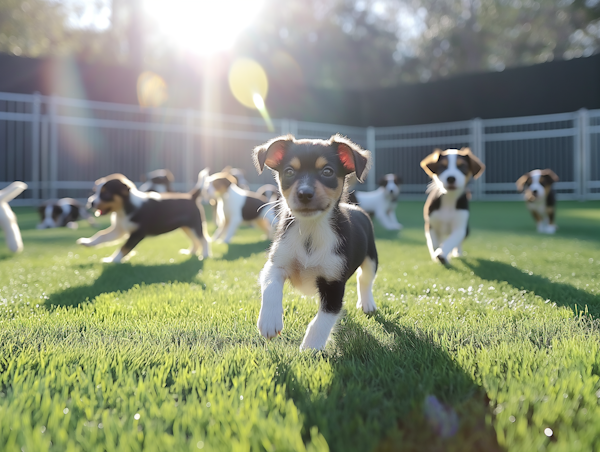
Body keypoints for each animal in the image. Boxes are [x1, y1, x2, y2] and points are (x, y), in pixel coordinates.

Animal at [76, 174, 210, 264]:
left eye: (106, 194)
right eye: (96, 191)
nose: (90, 203)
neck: (124, 210)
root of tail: (191, 196)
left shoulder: (137, 234)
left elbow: (124, 247)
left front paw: (113, 260)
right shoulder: (119, 230)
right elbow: (101, 235)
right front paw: (87, 242)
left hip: (195, 225)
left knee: (204, 239)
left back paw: (205, 255)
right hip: (186, 227)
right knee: (195, 240)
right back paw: (191, 252)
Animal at [254, 132, 380, 352]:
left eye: (327, 171)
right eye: (289, 171)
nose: (304, 194)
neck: (310, 230)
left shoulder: (334, 283)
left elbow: (323, 319)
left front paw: (310, 347)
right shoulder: (276, 263)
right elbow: (270, 285)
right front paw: (269, 321)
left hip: (372, 258)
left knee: (365, 280)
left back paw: (367, 304)